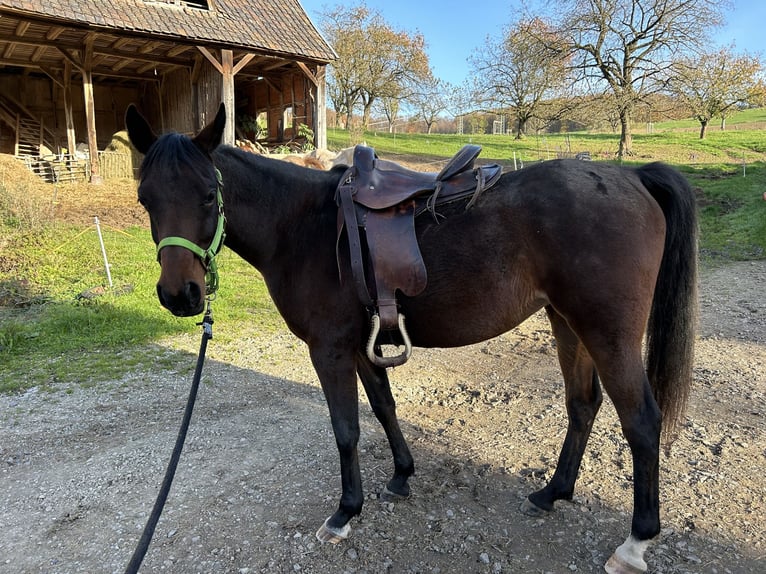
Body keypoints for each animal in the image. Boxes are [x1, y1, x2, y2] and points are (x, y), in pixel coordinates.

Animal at [127, 104, 704, 574]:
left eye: (209, 195)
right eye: (145, 198)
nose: (180, 294)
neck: (304, 227)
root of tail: (631, 176)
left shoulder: (329, 350)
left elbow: (346, 430)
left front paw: (346, 511)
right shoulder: (362, 345)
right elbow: (384, 408)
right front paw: (402, 475)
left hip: (607, 332)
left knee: (641, 422)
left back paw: (634, 543)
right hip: (568, 324)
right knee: (583, 404)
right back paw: (553, 492)